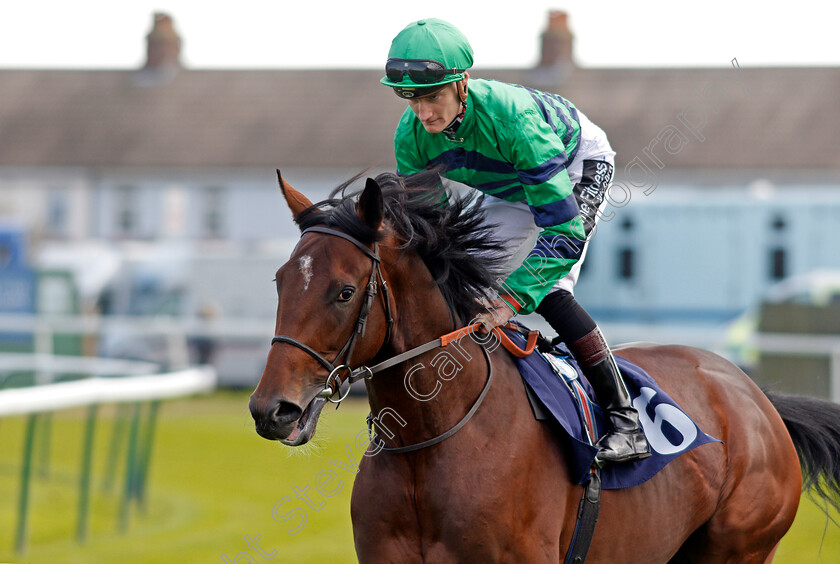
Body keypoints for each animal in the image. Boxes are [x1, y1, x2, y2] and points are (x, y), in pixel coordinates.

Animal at [249, 172, 840, 564]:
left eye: (344, 292)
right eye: (279, 281)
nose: (271, 410)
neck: (433, 439)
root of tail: (757, 398)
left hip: (738, 546)